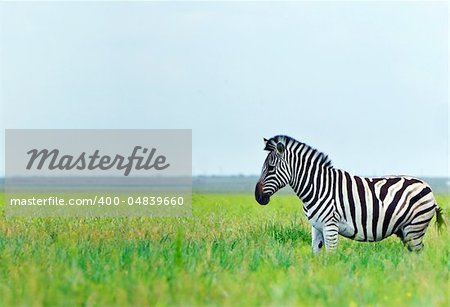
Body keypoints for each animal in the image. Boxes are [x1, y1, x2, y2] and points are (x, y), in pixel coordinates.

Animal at [255, 136, 444, 254]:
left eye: (270, 168)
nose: (258, 196)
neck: (317, 187)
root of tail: (427, 186)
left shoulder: (330, 226)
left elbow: (330, 256)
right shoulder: (316, 227)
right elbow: (315, 255)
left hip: (415, 228)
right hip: (406, 230)